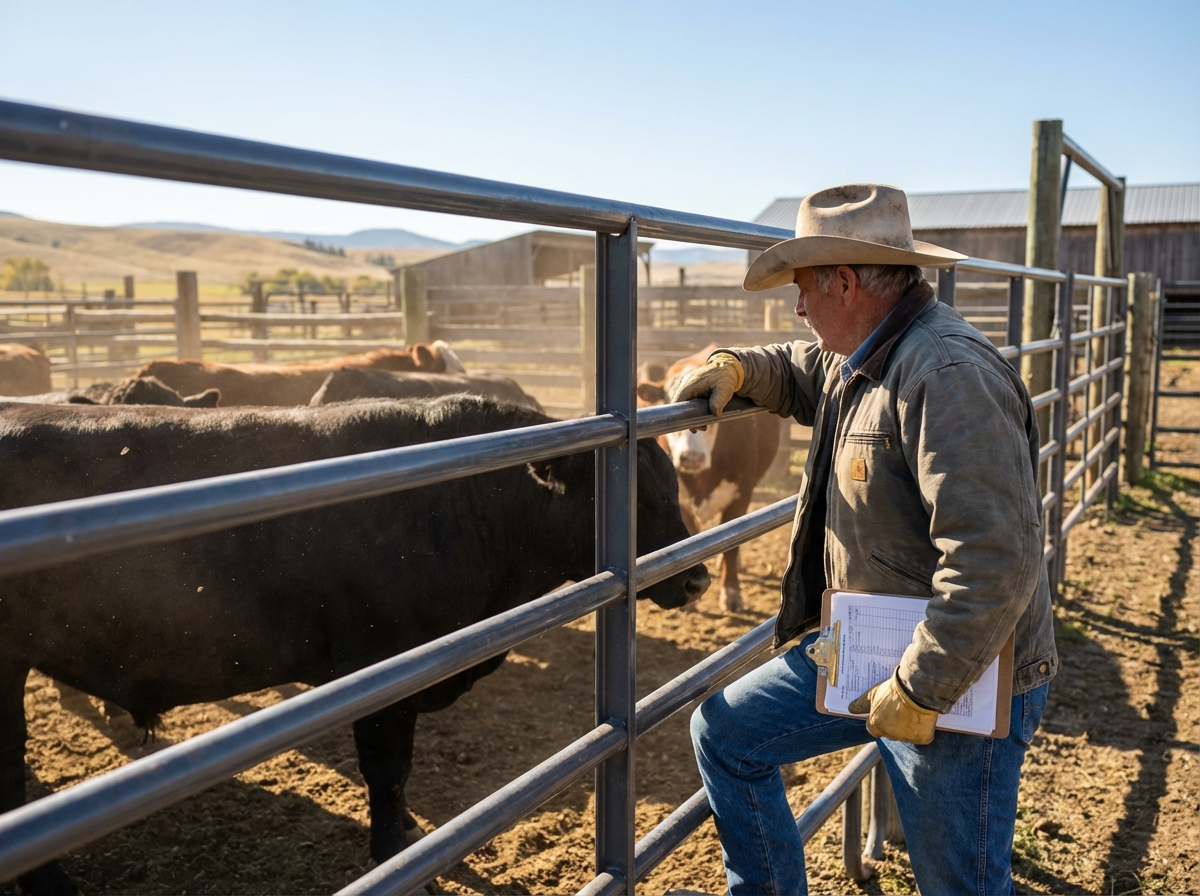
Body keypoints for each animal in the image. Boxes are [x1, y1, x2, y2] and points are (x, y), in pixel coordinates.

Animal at [0, 394, 709, 895]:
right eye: (632, 496)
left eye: (672, 486)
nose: (697, 577)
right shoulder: (379, 668)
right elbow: (387, 772)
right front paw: (395, 852)